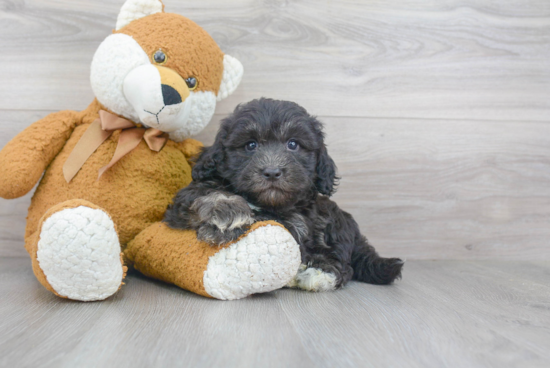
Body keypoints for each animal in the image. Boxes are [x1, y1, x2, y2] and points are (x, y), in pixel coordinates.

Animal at [165, 98, 406, 290]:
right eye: (250, 145)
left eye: (293, 144)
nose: (272, 172)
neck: (269, 204)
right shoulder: (186, 199)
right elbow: (206, 192)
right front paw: (228, 213)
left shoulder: (301, 221)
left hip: (334, 222)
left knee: (342, 260)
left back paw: (320, 272)